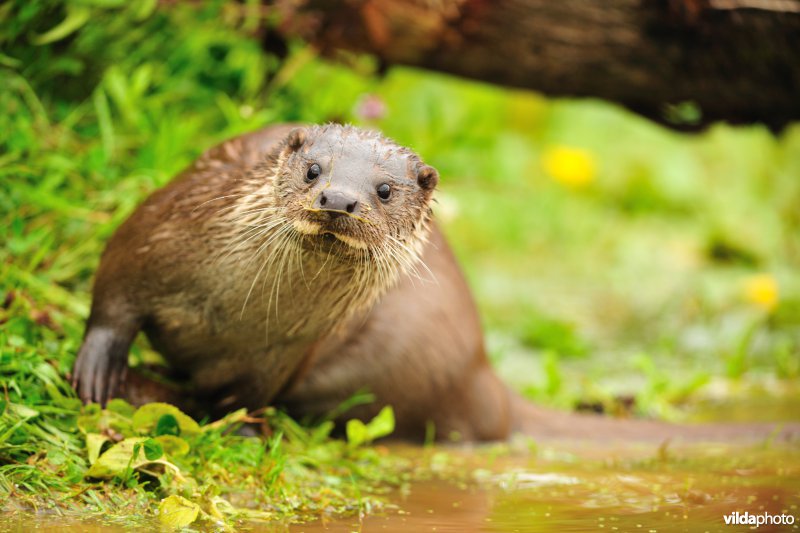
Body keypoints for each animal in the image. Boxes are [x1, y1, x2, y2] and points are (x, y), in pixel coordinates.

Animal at [72, 124, 797, 443]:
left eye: (384, 190)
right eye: (313, 169)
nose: (339, 199)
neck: (235, 308)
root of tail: (483, 370)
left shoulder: (285, 354)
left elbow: (243, 399)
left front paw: (235, 426)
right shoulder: (158, 229)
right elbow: (112, 292)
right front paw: (98, 369)